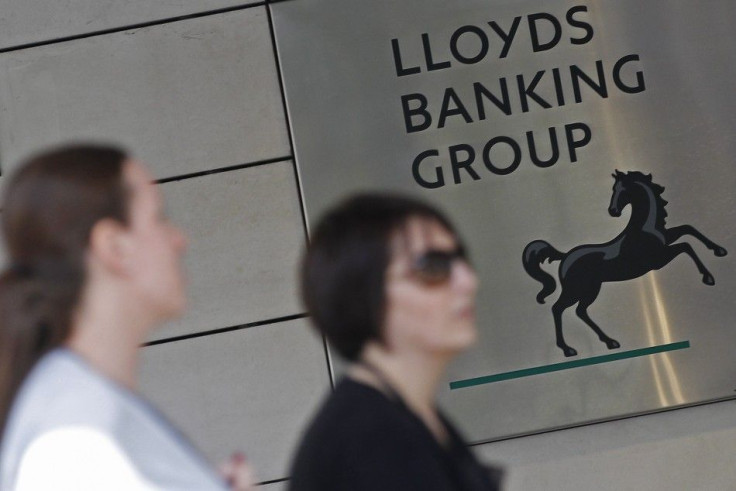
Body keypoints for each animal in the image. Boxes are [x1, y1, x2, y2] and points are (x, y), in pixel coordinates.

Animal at [524, 172, 724, 358]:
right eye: (614, 189)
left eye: (622, 190)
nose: (613, 210)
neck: (644, 228)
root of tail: (565, 256)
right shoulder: (658, 260)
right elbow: (686, 246)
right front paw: (708, 277)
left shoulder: (666, 240)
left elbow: (688, 229)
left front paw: (719, 250)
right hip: (576, 290)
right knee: (558, 309)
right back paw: (568, 349)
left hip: (590, 289)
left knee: (580, 311)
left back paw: (609, 342)